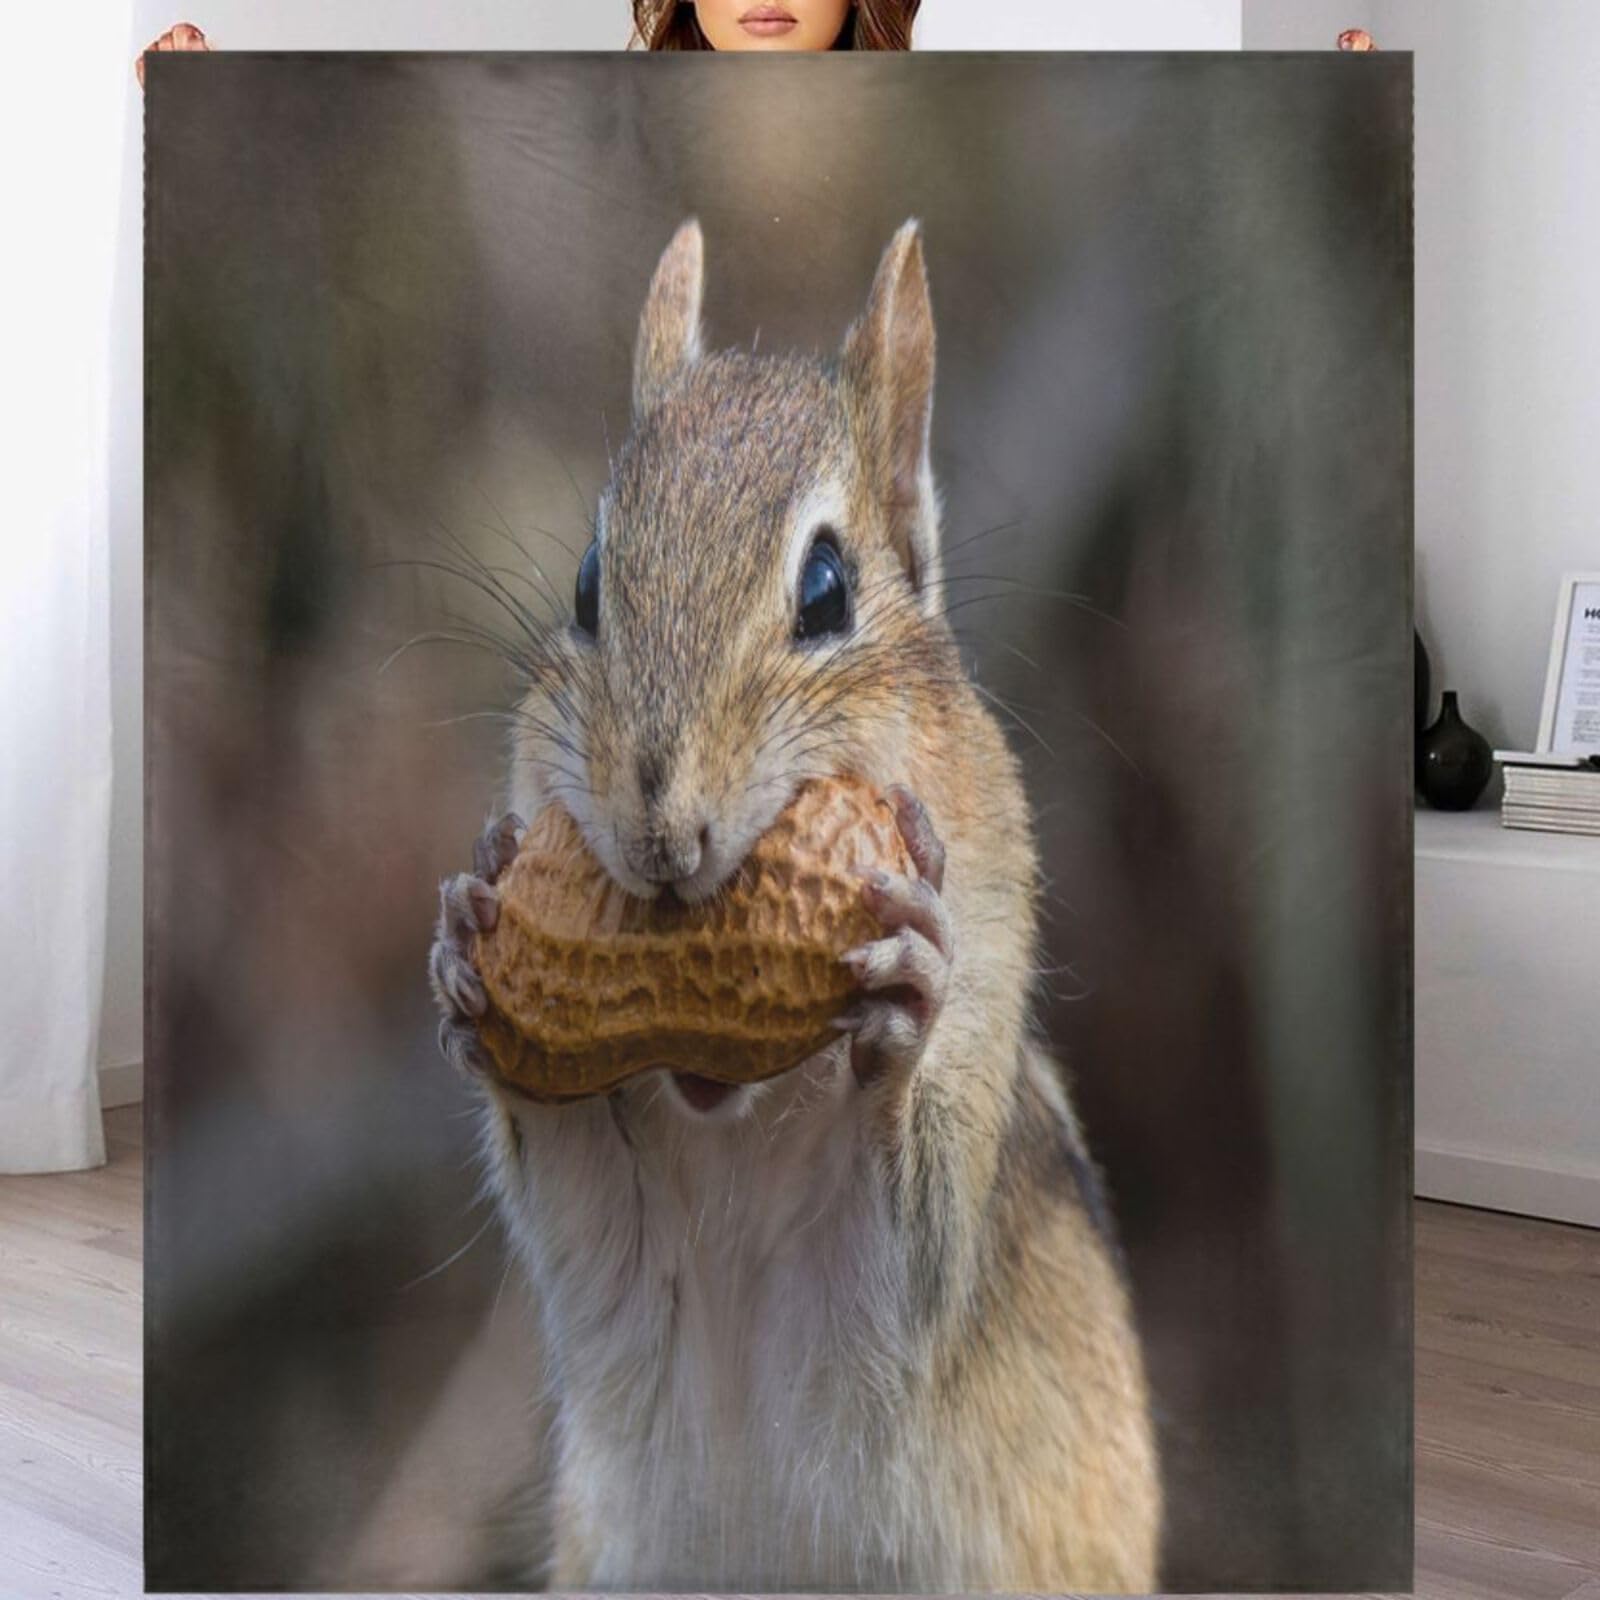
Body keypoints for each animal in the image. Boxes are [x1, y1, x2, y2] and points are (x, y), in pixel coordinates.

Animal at [428, 218, 1161, 1591]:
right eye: (587, 583)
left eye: (825, 589)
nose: (660, 829)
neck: (738, 1124)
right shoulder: (622, 1267)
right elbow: (575, 1197)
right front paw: (468, 943)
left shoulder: (896, 1272)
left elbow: (899, 1244)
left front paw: (902, 1003)